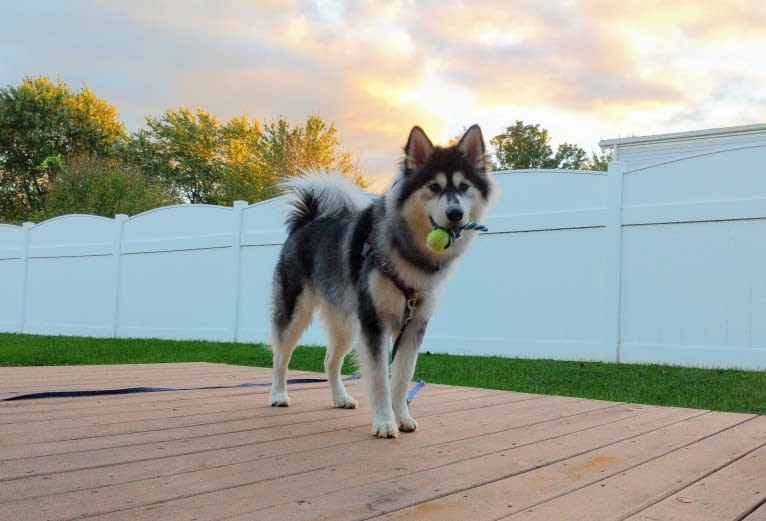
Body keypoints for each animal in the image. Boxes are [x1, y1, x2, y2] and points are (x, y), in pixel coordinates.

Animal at [268, 124, 498, 436]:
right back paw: (279, 394)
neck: (408, 252)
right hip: (297, 312)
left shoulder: (413, 325)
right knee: (280, 354)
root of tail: (306, 221)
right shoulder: (374, 322)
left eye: (464, 187)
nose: (456, 213)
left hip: (346, 323)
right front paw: (384, 422)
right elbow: (379, 378)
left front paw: (401, 417)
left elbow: (400, 377)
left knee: (330, 360)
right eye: (434, 187)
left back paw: (340, 397)